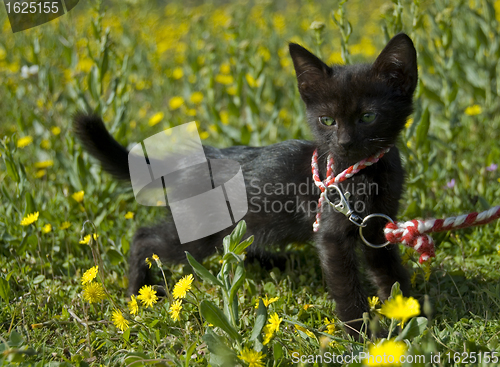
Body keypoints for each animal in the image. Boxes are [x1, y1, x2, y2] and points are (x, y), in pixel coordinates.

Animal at [74, 33, 416, 338]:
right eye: (327, 120)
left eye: (368, 116)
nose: (344, 143)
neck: (364, 172)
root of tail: (190, 161)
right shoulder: (332, 234)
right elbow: (346, 287)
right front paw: (362, 336)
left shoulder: (376, 227)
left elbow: (389, 271)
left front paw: (408, 313)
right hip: (198, 234)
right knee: (145, 237)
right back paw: (137, 290)